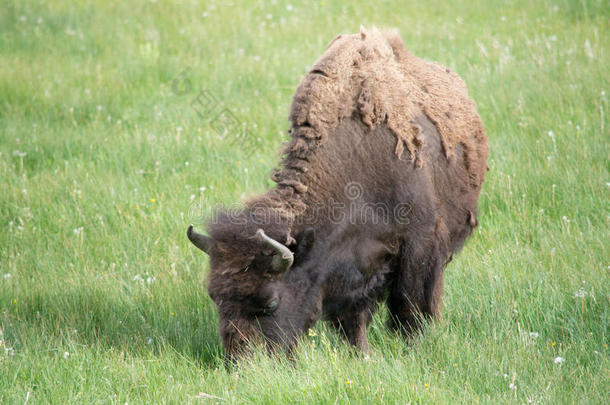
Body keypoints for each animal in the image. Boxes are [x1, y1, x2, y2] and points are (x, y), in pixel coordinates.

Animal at [185, 27, 484, 360]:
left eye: (271, 303)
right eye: (214, 296)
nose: (242, 361)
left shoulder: (419, 243)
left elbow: (410, 305)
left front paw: (411, 346)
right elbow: (353, 316)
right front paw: (361, 353)